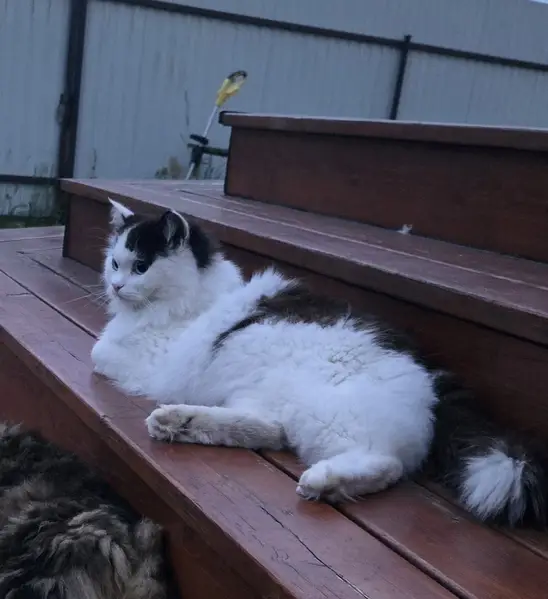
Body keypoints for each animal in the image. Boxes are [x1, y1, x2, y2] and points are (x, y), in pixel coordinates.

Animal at [92, 199, 548, 528]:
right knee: (270, 430)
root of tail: (433, 380)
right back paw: (178, 422)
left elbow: (99, 351)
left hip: (327, 413)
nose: (115, 286)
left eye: (141, 266)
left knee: (384, 463)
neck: (193, 299)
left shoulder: (149, 357)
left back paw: (324, 483)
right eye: (114, 263)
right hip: (273, 402)